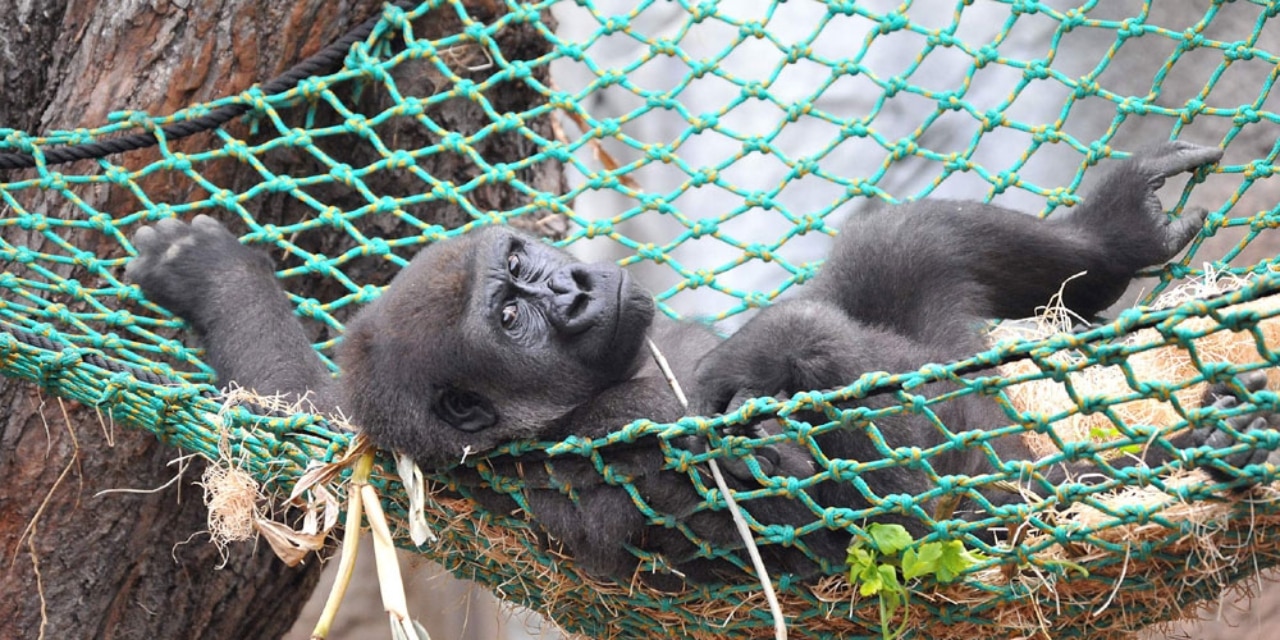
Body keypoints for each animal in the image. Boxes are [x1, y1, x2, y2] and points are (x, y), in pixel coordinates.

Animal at [124, 140, 1274, 588]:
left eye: (522, 262)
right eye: (511, 314)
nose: (576, 287)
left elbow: (304, 400)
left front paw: (208, 277)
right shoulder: (588, 457)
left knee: (887, 254)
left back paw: (1112, 249)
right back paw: (1161, 464)